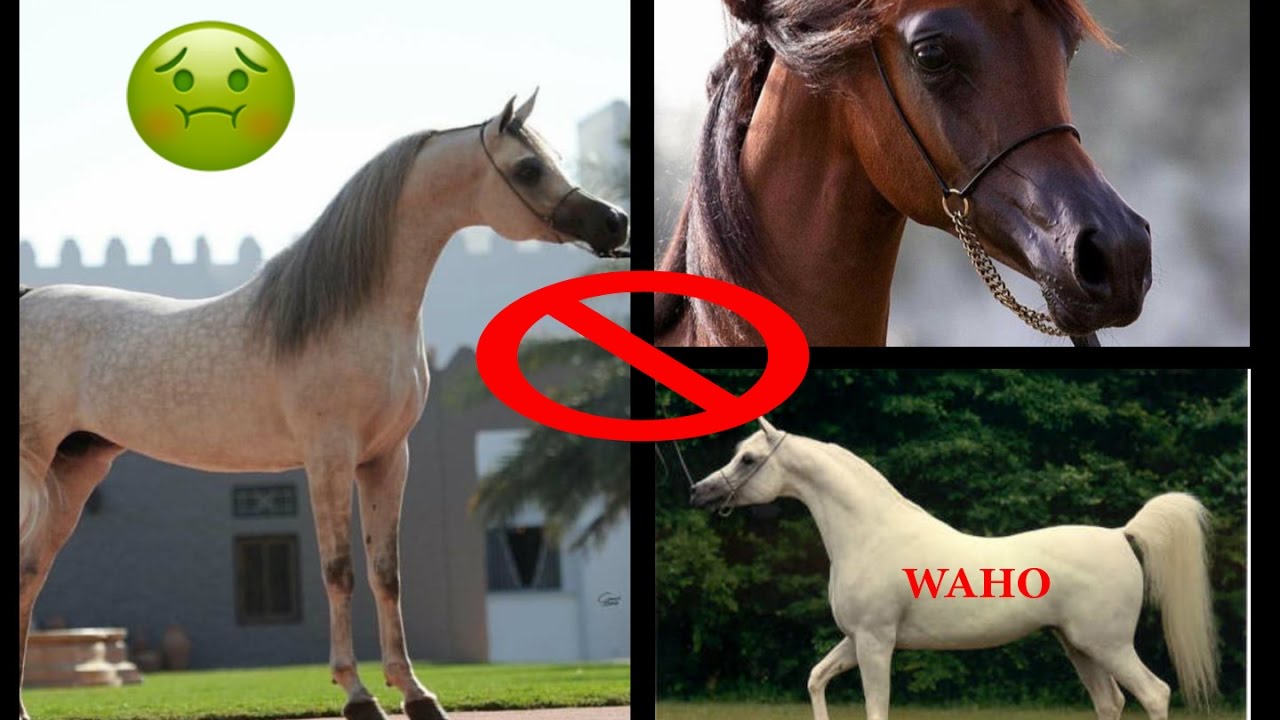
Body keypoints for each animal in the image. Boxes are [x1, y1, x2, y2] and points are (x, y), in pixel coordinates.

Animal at [18, 91, 628, 720]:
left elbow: (386, 574)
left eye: (554, 159)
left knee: (29, 575)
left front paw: (415, 692)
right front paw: (358, 694)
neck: (351, 314)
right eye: (528, 168)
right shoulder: (329, 459)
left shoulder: (387, 459)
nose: (614, 221)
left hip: (75, 471)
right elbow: (340, 571)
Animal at [689, 419, 1217, 720]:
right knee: (1111, 702)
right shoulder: (856, 639)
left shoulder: (876, 643)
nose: (699, 492)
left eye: (748, 459)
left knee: (1154, 693)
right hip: (1079, 647)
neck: (869, 532)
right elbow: (816, 679)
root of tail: (1119, 534)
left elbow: (875, 708)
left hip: (1107, 645)